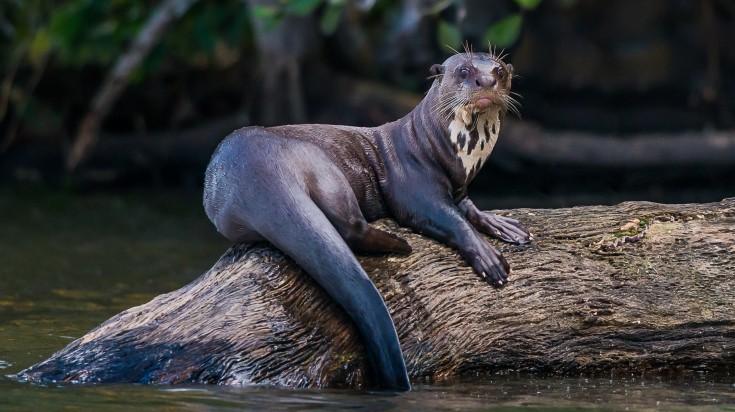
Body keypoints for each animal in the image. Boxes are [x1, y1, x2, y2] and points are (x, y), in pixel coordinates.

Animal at [204, 50, 532, 392]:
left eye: (499, 70)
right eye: (464, 71)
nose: (486, 81)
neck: (439, 149)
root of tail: (256, 170)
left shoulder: (459, 188)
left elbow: (469, 208)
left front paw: (504, 226)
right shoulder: (414, 187)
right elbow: (448, 219)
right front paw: (488, 258)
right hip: (322, 166)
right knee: (350, 226)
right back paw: (400, 245)